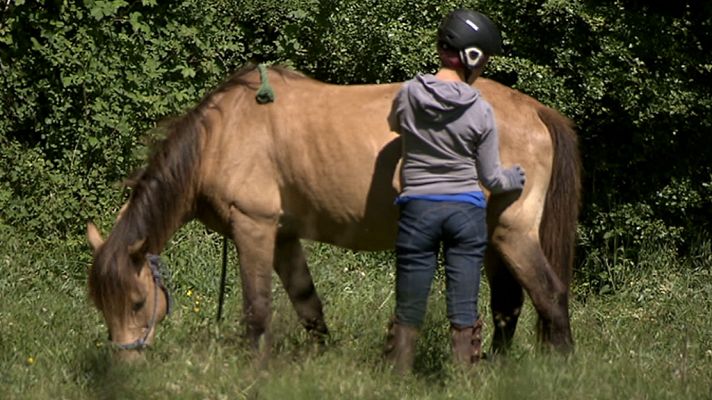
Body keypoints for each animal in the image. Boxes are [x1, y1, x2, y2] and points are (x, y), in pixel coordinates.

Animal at [86, 64, 580, 360]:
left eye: (137, 301)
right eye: (100, 303)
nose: (126, 366)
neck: (222, 134)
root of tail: (536, 111)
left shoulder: (254, 227)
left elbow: (257, 309)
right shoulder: (283, 236)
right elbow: (308, 304)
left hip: (514, 234)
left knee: (550, 295)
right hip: (495, 237)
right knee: (508, 305)